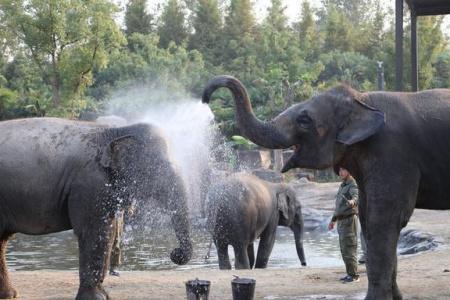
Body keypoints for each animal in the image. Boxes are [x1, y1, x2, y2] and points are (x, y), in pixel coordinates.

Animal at [0, 118, 192, 300]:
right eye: (158, 169)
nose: (175, 253)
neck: (115, 132)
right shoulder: (91, 184)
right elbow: (94, 232)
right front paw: (97, 298)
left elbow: (109, 231)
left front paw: (105, 296)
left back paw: (10, 295)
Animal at [202, 75, 450, 300]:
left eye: (304, 119)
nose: (204, 99)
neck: (362, 100)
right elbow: (368, 218)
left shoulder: (393, 154)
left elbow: (384, 219)